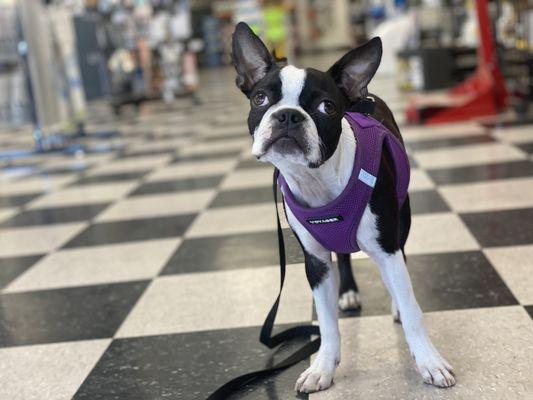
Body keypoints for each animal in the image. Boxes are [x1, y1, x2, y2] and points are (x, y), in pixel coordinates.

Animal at [231, 21, 456, 394]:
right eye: (260, 99)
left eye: (327, 107)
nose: (288, 116)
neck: (317, 180)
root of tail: (365, 95)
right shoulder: (316, 262)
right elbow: (326, 323)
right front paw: (322, 366)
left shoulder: (386, 245)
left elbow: (412, 309)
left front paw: (429, 362)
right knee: (346, 256)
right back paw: (348, 292)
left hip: (401, 220)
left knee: (401, 264)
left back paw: (394, 301)